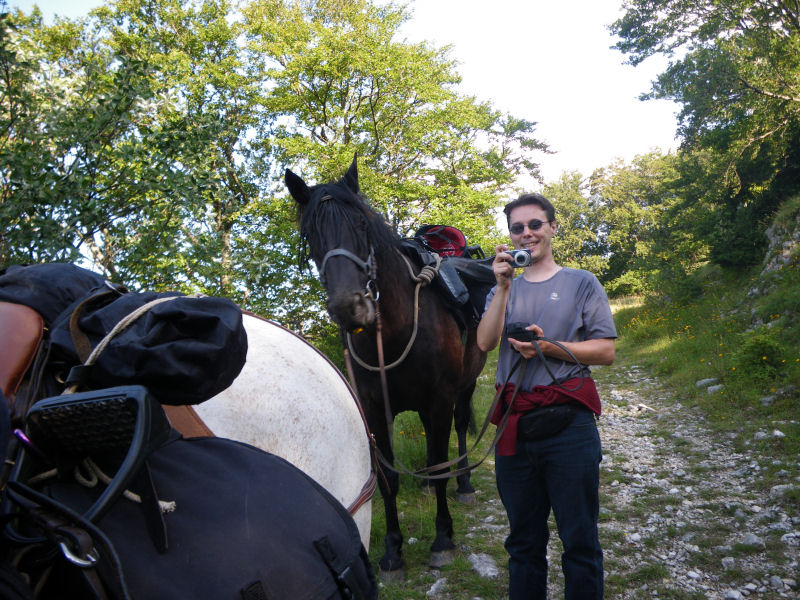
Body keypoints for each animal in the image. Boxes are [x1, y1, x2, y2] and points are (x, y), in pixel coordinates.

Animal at [288, 157, 488, 580]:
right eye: (310, 235)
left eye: (362, 224)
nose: (351, 307)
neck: (396, 331)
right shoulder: (376, 410)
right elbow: (388, 479)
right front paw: (393, 551)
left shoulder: (441, 398)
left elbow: (439, 456)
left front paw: (442, 539)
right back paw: (428, 483)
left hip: (464, 387)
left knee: (461, 429)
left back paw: (462, 481)